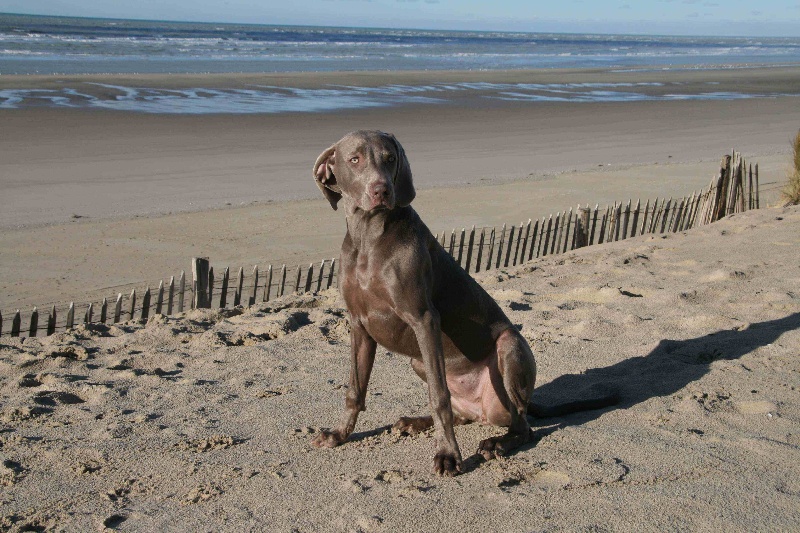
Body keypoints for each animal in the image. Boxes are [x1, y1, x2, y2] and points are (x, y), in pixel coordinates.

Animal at [310, 129, 616, 474]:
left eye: (390, 159)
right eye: (354, 159)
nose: (382, 189)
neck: (368, 236)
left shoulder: (423, 319)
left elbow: (439, 396)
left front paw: (448, 455)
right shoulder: (359, 324)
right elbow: (355, 389)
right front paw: (338, 434)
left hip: (508, 347)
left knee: (523, 427)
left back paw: (497, 443)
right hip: (419, 362)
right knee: (465, 415)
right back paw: (414, 422)